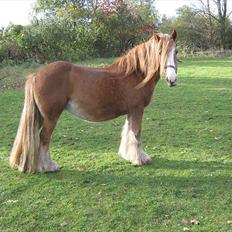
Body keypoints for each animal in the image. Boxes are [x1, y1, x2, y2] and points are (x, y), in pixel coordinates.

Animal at [10, 30, 179, 172]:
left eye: (175, 51)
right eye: (159, 52)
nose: (172, 80)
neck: (136, 75)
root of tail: (35, 75)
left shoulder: (131, 111)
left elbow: (128, 132)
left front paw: (129, 156)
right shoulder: (137, 109)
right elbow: (136, 133)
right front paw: (139, 159)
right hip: (51, 116)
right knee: (44, 138)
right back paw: (48, 166)